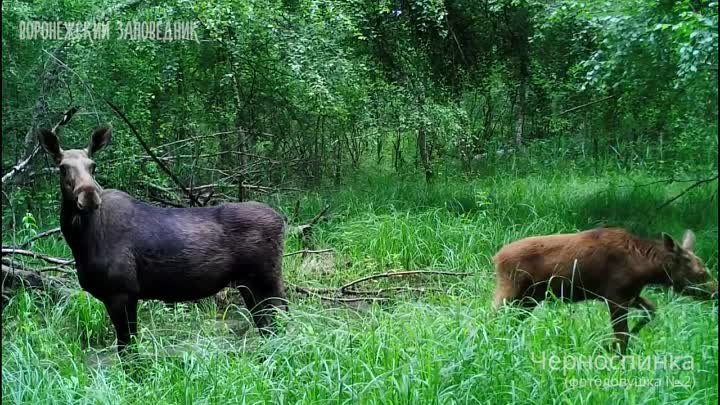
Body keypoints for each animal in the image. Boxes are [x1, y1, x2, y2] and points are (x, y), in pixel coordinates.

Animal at [38, 126, 286, 354]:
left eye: (93, 165)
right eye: (62, 167)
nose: (89, 196)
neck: (80, 243)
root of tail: (282, 221)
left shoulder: (122, 292)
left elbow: (128, 350)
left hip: (266, 278)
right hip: (249, 282)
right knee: (268, 324)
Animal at [492, 226, 716, 352]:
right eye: (701, 273)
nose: (716, 292)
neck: (645, 269)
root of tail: (496, 257)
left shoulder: (630, 295)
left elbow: (651, 311)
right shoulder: (615, 297)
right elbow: (622, 336)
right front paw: (614, 352)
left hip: (529, 299)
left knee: (510, 321)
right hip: (510, 292)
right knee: (492, 317)